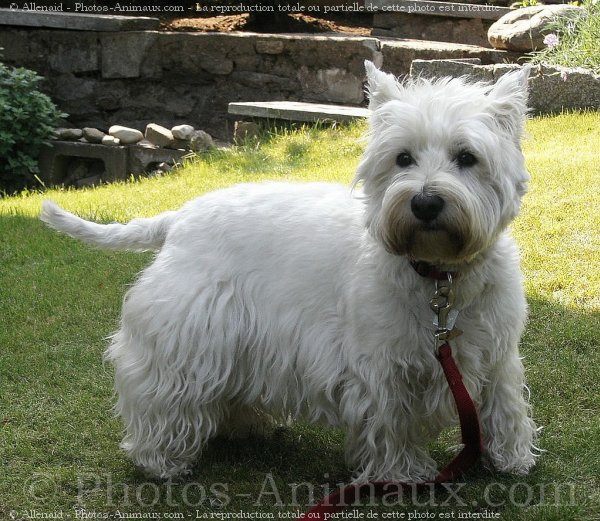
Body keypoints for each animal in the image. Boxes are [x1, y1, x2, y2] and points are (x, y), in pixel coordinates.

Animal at [42, 63, 540, 482]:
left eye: (467, 157)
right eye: (403, 158)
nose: (424, 202)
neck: (440, 278)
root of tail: (178, 217)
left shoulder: (495, 353)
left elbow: (504, 405)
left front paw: (512, 458)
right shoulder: (381, 365)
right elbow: (391, 422)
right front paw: (401, 474)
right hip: (189, 334)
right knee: (161, 393)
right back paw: (161, 460)